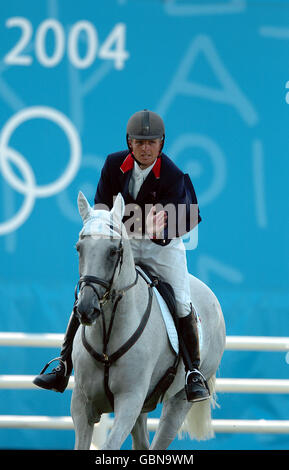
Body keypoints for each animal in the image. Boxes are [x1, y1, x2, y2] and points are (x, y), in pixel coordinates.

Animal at [70, 192, 225, 452]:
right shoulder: (82, 403)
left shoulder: (130, 401)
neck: (107, 335)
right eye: (79, 248)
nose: (86, 310)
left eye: (113, 251)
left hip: (178, 403)